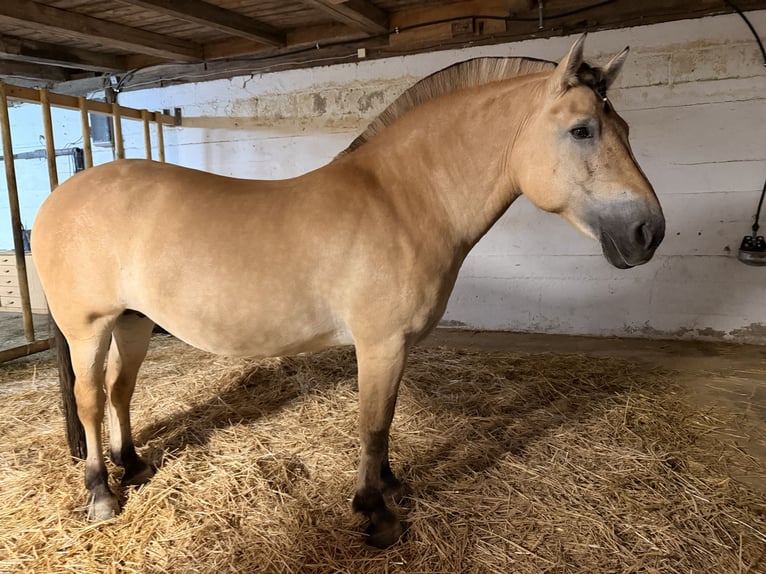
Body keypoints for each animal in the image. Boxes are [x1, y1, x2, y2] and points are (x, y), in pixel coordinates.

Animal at [31, 35, 664, 548]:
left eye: (628, 130)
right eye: (582, 130)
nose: (648, 233)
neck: (403, 200)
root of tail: (57, 199)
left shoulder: (397, 347)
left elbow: (384, 424)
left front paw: (389, 486)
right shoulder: (380, 343)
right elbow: (373, 424)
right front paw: (375, 514)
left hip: (134, 320)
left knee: (120, 391)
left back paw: (133, 464)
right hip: (90, 328)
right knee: (91, 401)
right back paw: (101, 495)